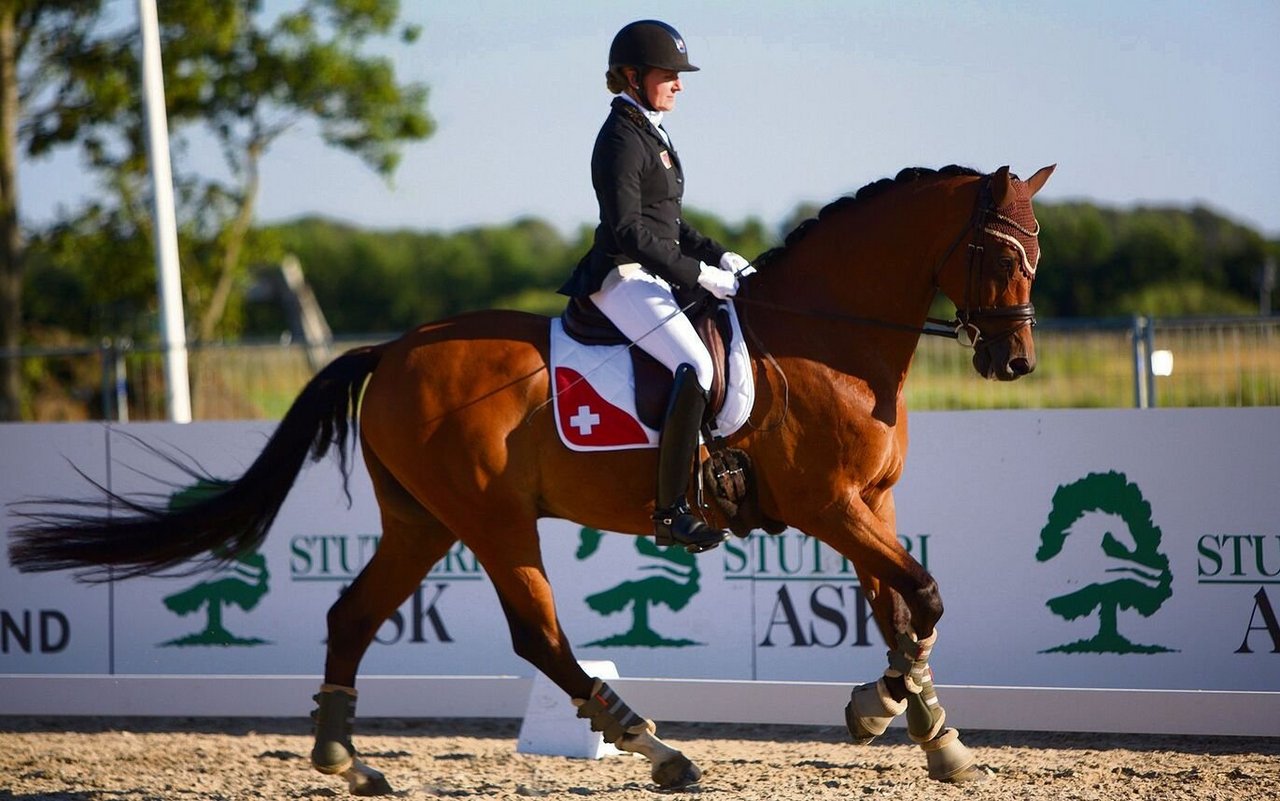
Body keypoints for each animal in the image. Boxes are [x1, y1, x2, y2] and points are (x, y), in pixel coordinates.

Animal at [7, 162, 1049, 793]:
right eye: (995, 249)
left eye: (1035, 250)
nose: (1014, 364)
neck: (829, 338)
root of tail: (391, 349)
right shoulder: (828, 505)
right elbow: (923, 592)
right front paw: (888, 711)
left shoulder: (869, 503)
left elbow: (901, 606)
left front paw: (924, 727)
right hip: (492, 517)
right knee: (538, 635)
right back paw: (657, 748)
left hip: (423, 518)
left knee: (353, 614)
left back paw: (347, 759)